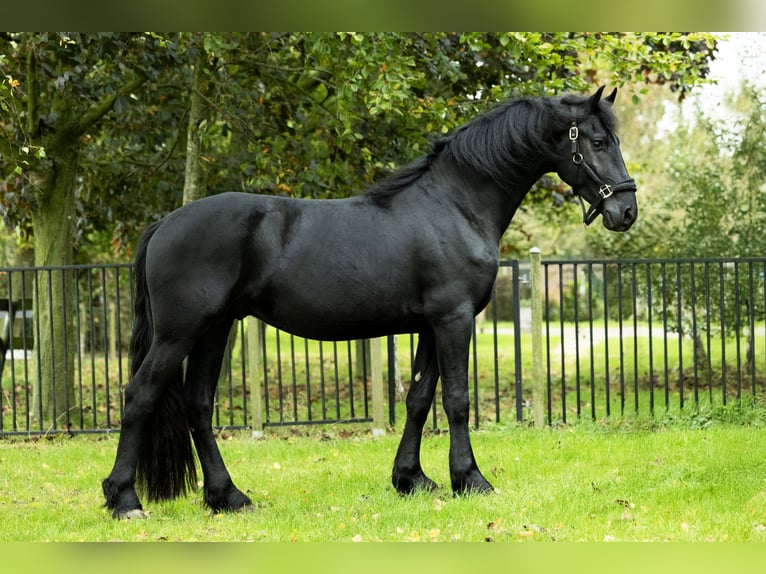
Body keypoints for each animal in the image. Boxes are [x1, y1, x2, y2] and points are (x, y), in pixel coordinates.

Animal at [103, 86, 640, 520]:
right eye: (597, 142)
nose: (626, 210)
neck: (455, 205)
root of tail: (165, 222)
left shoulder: (428, 325)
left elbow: (419, 398)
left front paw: (412, 479)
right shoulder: (454, 319)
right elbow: (456, 400)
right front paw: (470, 479)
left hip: (216, 329)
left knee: (198, 404)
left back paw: (227, 497)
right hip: (180, 332)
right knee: (140, 395)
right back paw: (125, 499)